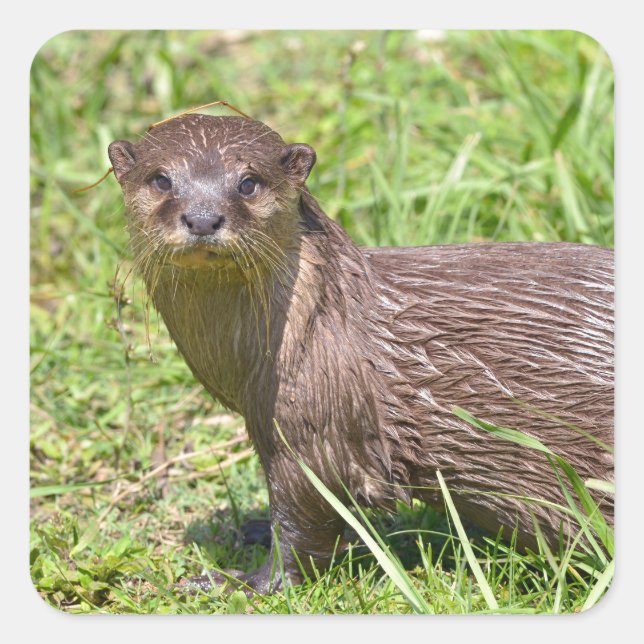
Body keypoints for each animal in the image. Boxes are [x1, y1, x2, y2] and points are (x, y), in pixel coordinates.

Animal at [108, 114, 613, 594]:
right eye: (161, 179)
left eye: (248, 182)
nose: (203, 217)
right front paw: (249, 530)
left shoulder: (315, 426)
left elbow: (305, 524)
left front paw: (240, 582)